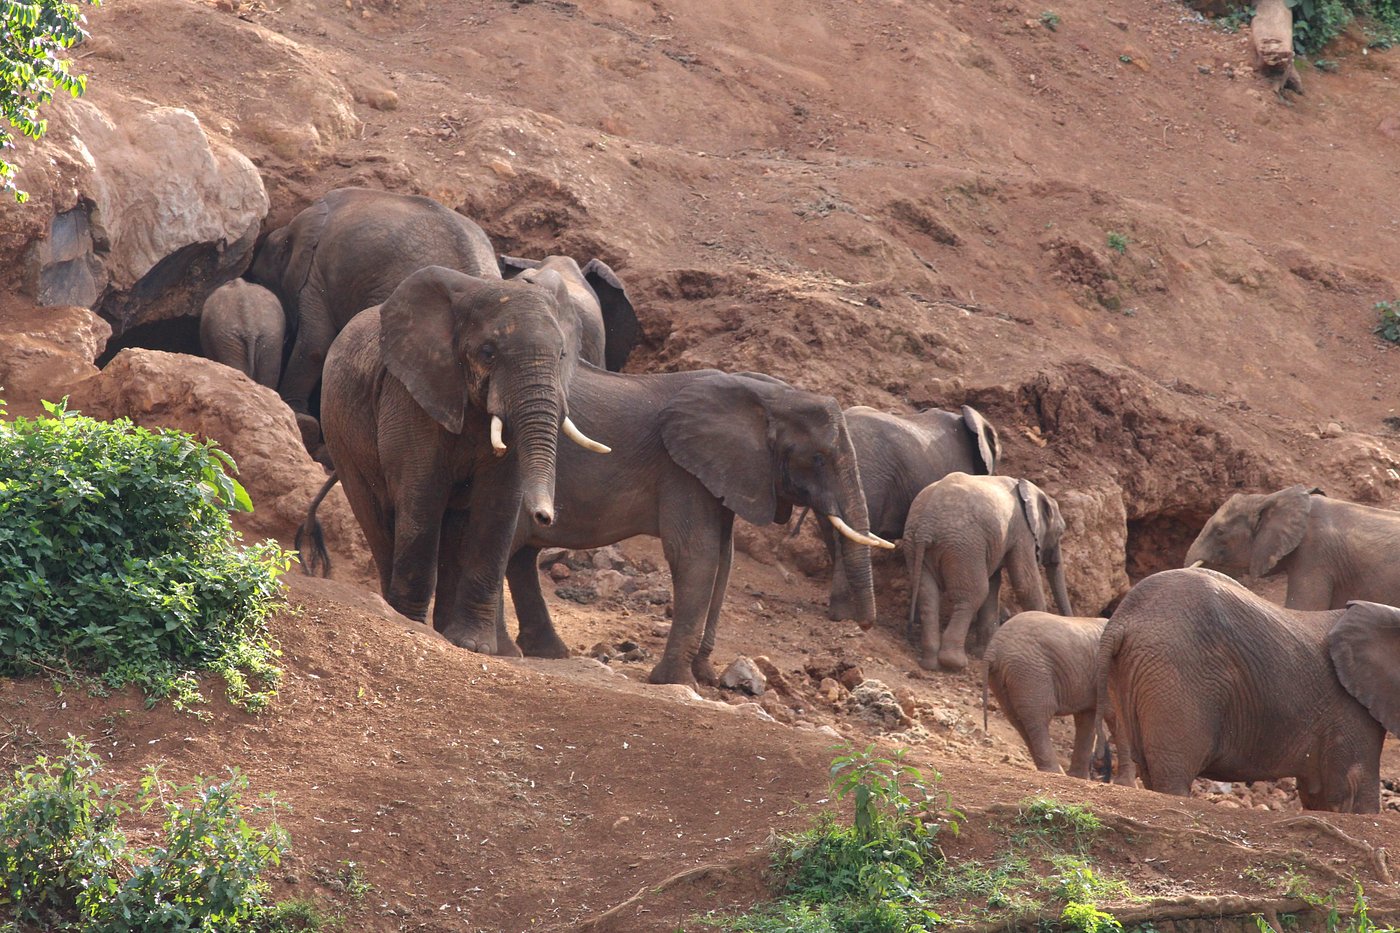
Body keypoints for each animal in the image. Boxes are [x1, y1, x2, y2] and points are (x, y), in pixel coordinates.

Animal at [319, 265, 610, 647]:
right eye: (488, 353)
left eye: (562, 355)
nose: (546, 517)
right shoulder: (410, 394)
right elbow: (422, 496)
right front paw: (410, 624)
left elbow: (498, 505)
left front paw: (474, 644)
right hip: (339, 434)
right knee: (377, 517)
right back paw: (396, 611)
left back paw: (446, 633)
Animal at [492, 369, 892, 687]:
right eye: (819, 458)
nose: (863, 626)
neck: (769, 395)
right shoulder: (680, 469)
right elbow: (696, 555)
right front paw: (676, 682)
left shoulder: (721, 473)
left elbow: (723, 560)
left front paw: (708, 677)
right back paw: (504, 650)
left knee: (521, 554)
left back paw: (547, 652)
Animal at [904, 473, 1072, 672]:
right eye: (1060, 532)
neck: (1030, 489)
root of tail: (926, 525)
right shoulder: (1022, 531)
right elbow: (1025, 583)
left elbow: (994, 585)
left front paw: (983, 654)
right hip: (964, 546)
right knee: (974, 594)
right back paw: (955, 663)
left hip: (917, 544)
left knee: (928, 595)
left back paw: (930, 664)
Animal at [984, 611, 1126, 782]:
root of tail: (993, 648)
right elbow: (1115, 716)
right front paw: (1127, 785)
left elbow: (1087, 718)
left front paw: (1079, 777)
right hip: (1030, 672)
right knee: (1038, 719)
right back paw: (1055, 772)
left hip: (1004, 677)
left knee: (1018, 721)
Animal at [1094, 568, 1400, 812]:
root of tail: (1121, 621)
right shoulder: (1350, 707)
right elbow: (1355, 790)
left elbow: (1321, 795)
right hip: (1176, 675)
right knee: (1173, 775)